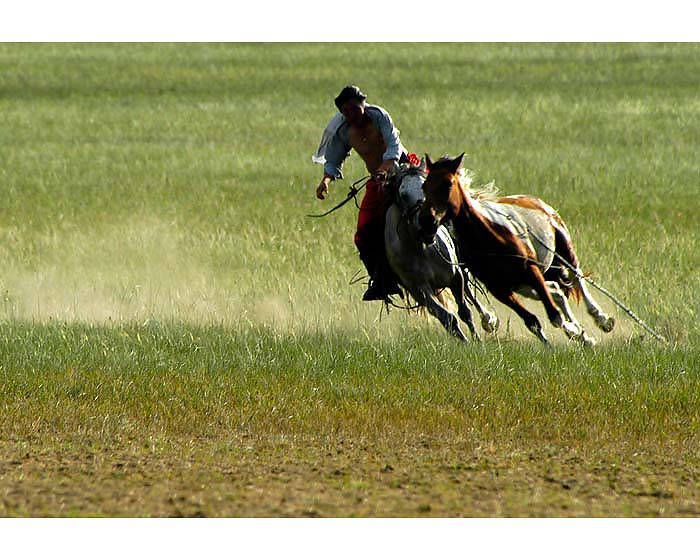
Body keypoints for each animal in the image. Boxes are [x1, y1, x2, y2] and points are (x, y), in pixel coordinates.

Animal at [382, 160, 498, 340]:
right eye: (403, 195)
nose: (428, 225)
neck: (422, 249)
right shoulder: (419, 290)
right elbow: (447, 317)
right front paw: (465, 341)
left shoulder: (456, 276)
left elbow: (465, 311)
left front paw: (477, 339)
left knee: (471, 295)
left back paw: (489, 321)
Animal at [418, 153, 616, 346]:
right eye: (425, 186)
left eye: (448, 184)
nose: (427, 220)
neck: (488, 236)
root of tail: (537, 201)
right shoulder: (501, 289)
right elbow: (532, 320)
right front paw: (578, 333)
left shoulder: (531, 271)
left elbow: (555, 315)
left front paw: (576, 331)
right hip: (523, 284)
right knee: (556, 290)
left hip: (563, 249)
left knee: (577, 277)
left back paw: (602, 319)